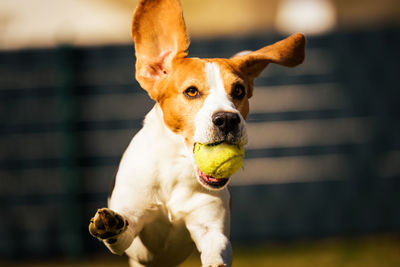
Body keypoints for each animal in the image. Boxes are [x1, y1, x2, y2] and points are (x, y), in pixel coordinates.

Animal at [89, 1, 304, 266]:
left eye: (239, 90)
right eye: (191, 91)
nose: (227, 119)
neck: (174, 170)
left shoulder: (211, 227)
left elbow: (216, 250)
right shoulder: (134, 233)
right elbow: (123, 231)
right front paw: (110, 225)